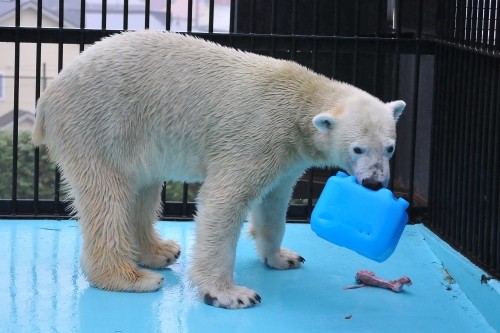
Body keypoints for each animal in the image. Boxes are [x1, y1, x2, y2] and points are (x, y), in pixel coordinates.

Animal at [32, 31, 406, 308]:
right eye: (358, 148)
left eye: (390, 147)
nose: (374, 183)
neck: (300, 99)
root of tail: (47, 96)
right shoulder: (256, 137)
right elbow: (223, 202)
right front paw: (230, 294)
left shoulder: (286, 158)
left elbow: (274, 205)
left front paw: (283, 257)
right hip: (101, 127)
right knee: (108, 196)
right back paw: (131, 278)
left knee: (141, 190)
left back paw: (159, 252)